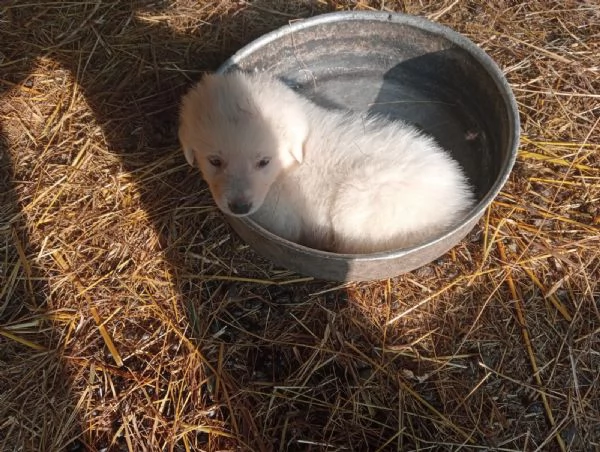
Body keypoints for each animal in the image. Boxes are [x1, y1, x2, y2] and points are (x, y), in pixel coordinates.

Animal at [178, 71, 474, 254]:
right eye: (215, 160)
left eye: (264, 161)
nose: (239, 207)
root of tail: (457, 204)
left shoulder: (282, 219)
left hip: (359, 204)